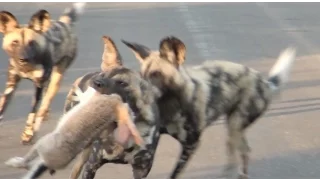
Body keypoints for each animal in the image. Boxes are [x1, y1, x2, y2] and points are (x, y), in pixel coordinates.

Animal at [0, 2, 87, 144]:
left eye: (31, 43)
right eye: (15, 43)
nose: (23, 59)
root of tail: (64, 23)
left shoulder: (38, 86)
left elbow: (33, 112)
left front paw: (28, 133)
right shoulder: (11, 84)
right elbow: (2, 106)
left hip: (56, 79)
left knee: (45, 103)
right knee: (45, 99)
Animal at [123, 35, 298, 179]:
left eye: (156, 74)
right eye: (141, 74)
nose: (138, 93)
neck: (170, 104)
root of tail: (265, 81)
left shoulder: (190, 145)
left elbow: (174, 174)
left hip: (235, 125)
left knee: (243, 151)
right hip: (232, 129)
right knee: (236, 154)